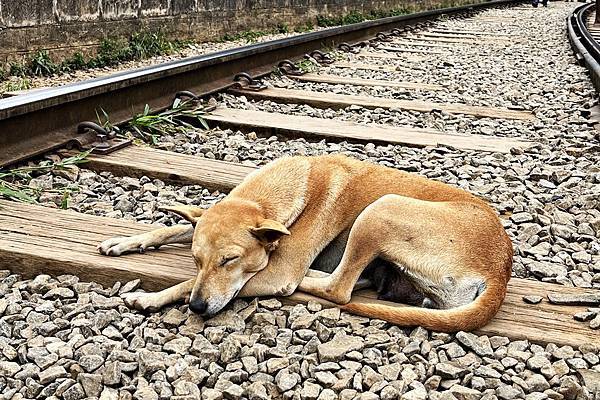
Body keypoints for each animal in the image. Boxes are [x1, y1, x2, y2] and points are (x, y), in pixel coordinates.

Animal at [98, 155, 510, 332]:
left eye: (229, 261)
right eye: (197, 260)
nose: (199, 308)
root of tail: (501, 269)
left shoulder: (277, 270)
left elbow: (189, 285)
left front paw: (150, 297)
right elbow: (167, 229)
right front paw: (123, 241)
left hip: (380, 209)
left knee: (338, 289)